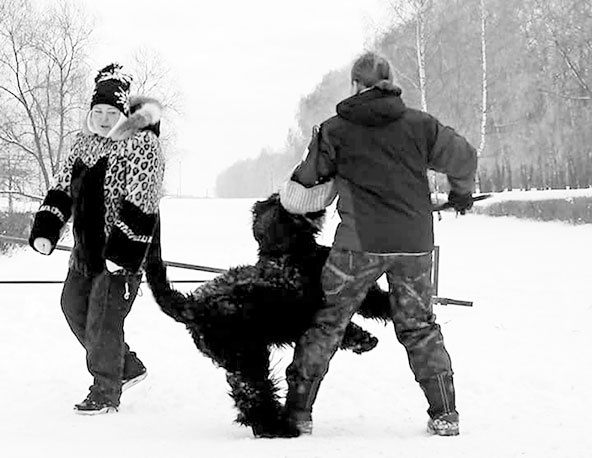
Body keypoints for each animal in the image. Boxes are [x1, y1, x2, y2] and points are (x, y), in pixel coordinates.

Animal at [145, 192, 394, 436]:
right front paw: (365, 339)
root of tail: (193, 305)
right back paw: (279, 427)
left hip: (235, 361)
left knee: (245, 395)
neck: (286, 253)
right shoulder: (324, 306)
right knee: (256, 395)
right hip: (248, 356)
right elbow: (365, 312)